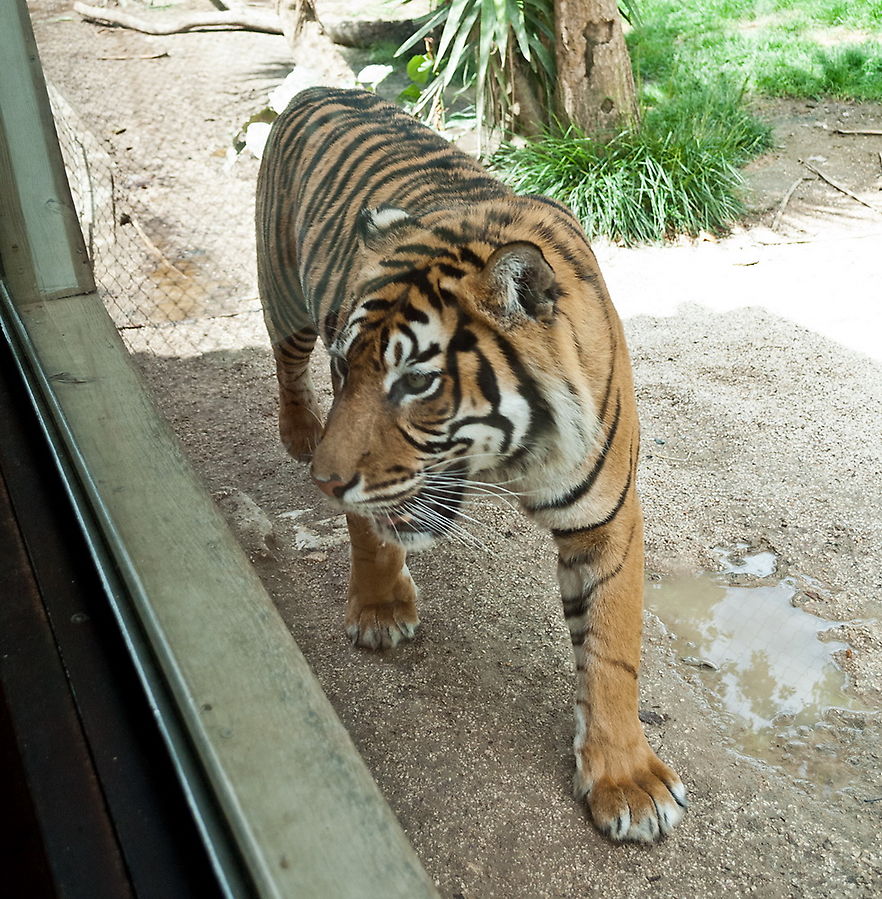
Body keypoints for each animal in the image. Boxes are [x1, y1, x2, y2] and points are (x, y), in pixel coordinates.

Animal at [254, 84, 680, 844]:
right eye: (347, 364)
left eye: (418, 382)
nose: (324, 482)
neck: (512, 458)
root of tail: (316, 86)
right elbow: (370, 529)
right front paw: (379, 607)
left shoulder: (607, 517)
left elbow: (612, 646)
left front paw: (625, 781)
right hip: (283, 299)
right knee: (284, 361)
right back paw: (299, 432)